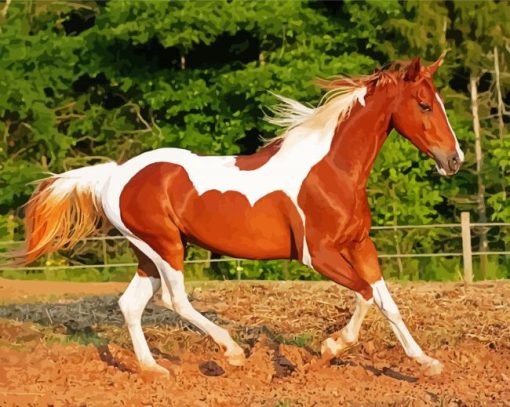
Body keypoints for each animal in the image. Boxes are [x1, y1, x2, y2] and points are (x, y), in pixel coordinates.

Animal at [16, 55, 462, 378]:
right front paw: (330, 346)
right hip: (165, 247)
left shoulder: (359, 245)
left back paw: (154, 369)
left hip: (148, 252)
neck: (330, 170)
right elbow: (366, 294)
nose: (454, 159)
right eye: (424, 104)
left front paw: (427, 363)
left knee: (130, 304)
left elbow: (387, 301)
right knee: (174, 299)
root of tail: (115, 173)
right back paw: (231, 353)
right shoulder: (317, 254)